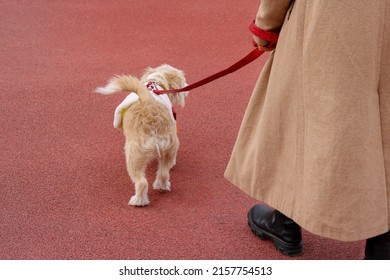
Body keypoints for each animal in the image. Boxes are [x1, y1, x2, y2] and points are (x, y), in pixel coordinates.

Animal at [96, 65, 190, 206]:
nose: (187, 87)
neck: (156, 82)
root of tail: (150, 108)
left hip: (133, 157)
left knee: (141, 182)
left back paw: (138, 200)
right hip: (169, 149)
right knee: (163, 173)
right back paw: (161, 186)